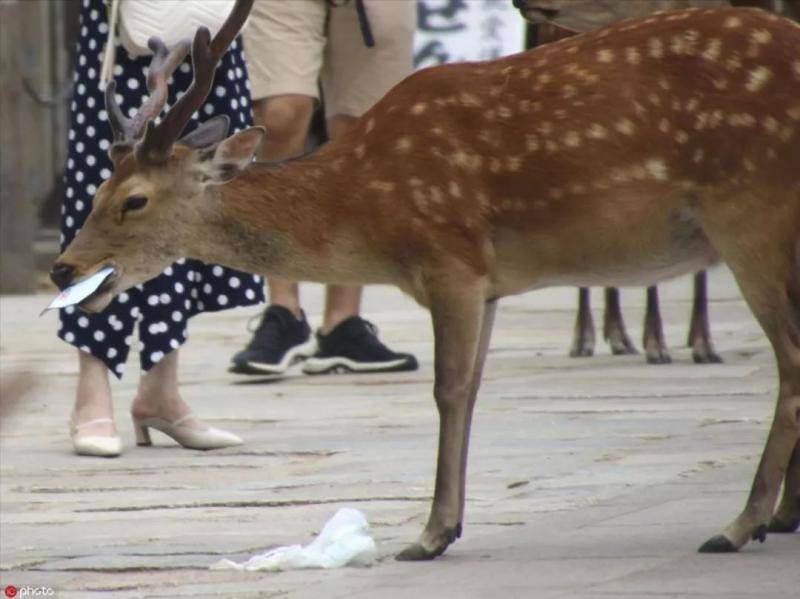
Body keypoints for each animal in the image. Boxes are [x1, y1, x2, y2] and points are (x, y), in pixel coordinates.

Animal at [51, 0, 800, 564]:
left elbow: (448, 390)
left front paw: (431, 533)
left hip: (748, 206)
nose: (64, 267)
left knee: (790, 360)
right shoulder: (489, 281)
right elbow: (469, 389)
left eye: (134, 200)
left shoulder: (451, 256)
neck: (368, 214)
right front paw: (444, 525)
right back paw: (777, 516)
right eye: (96, 189)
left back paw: (741, 523)